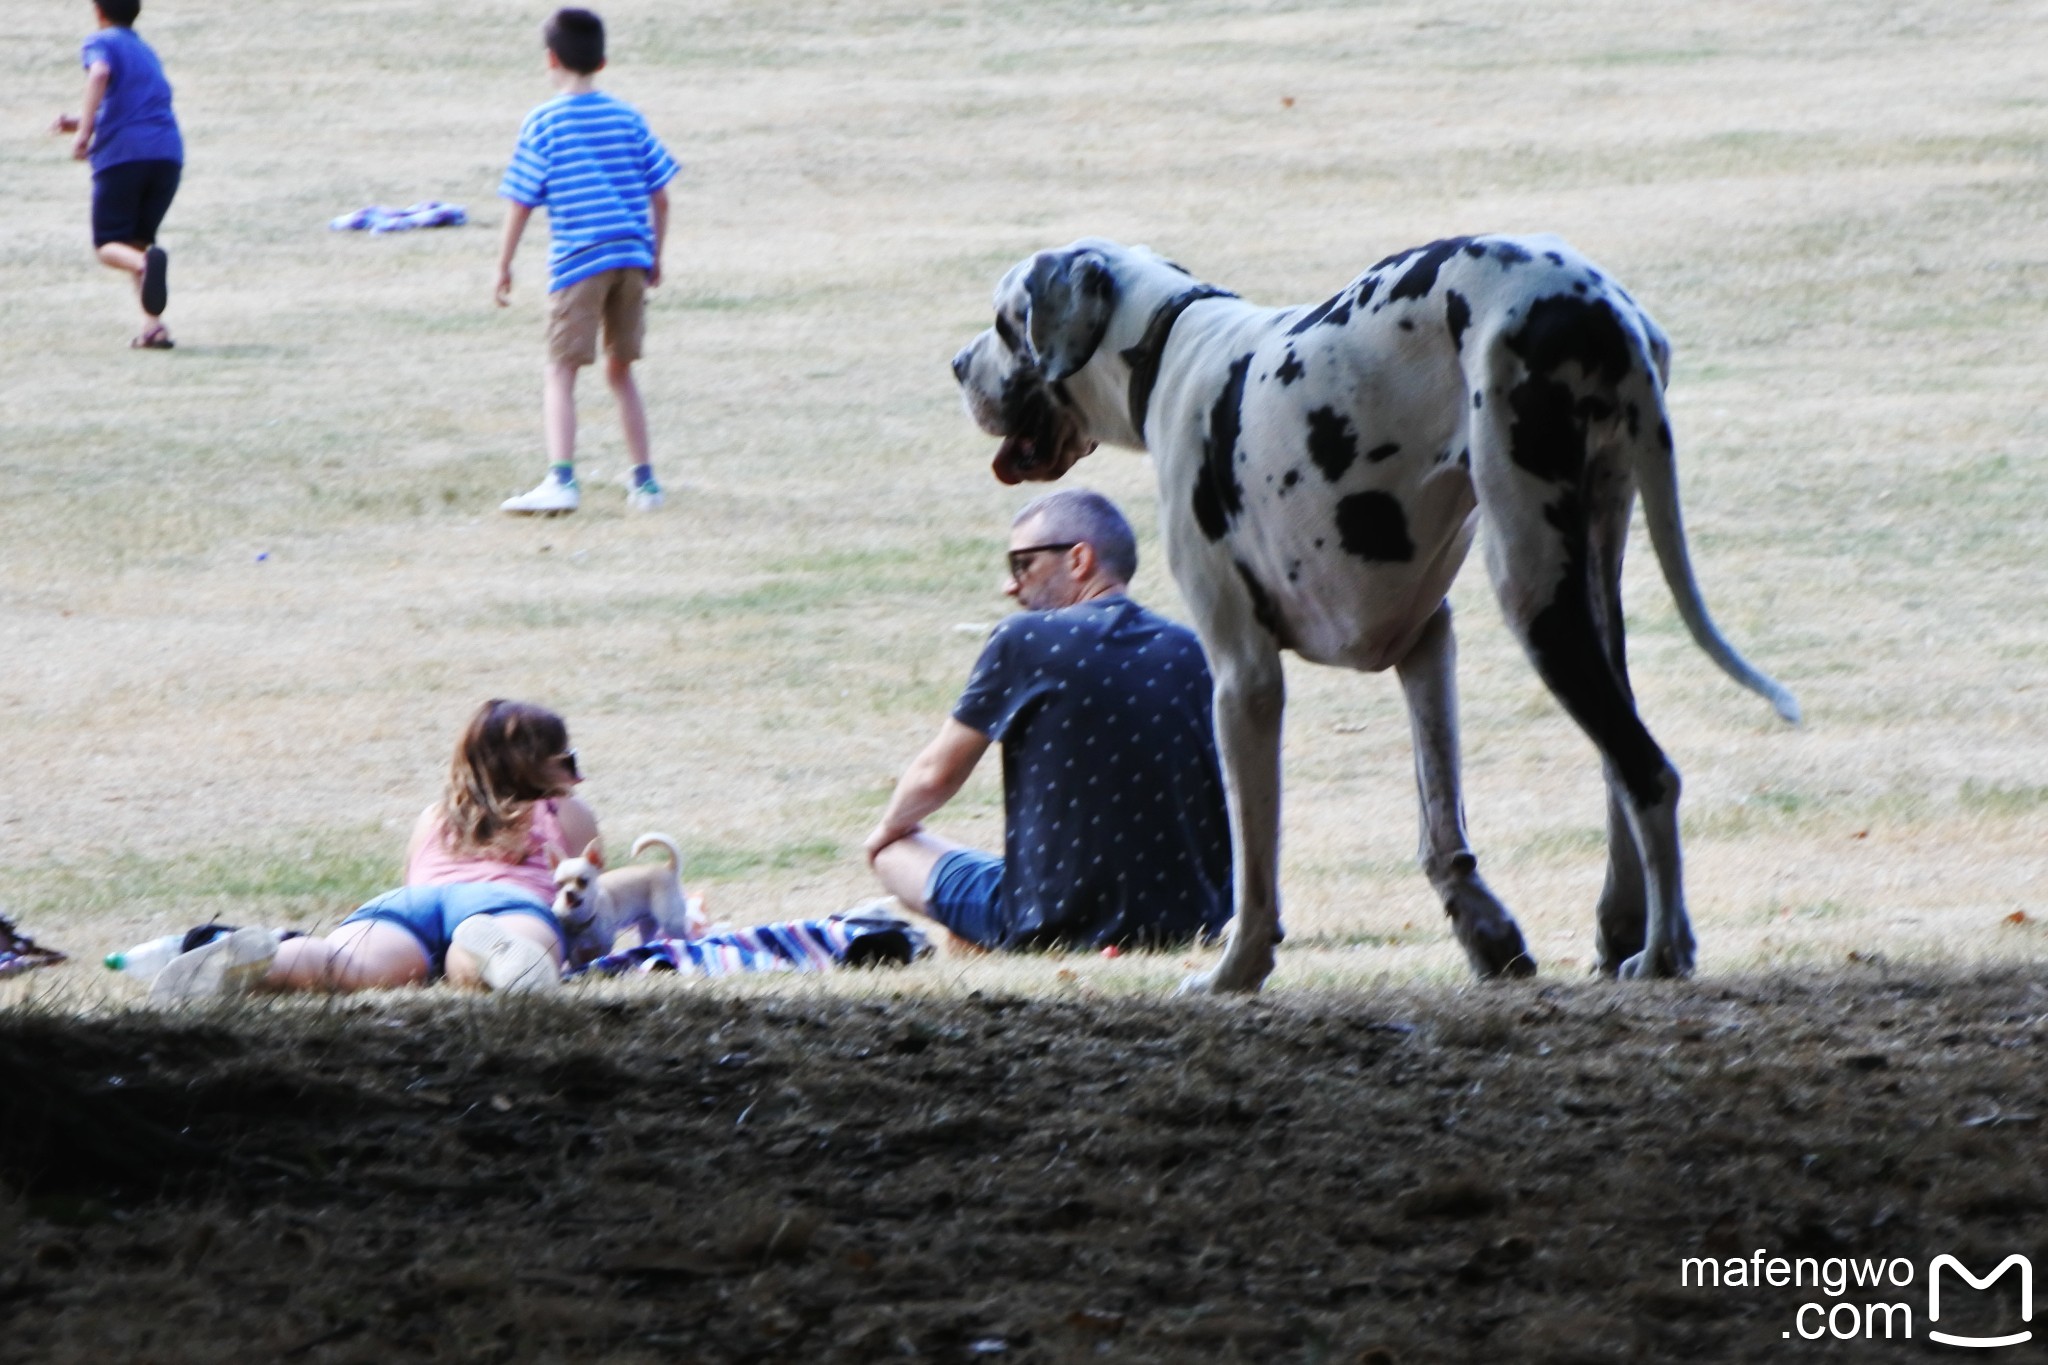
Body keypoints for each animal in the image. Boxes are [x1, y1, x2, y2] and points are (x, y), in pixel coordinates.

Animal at [950, 235, 1802, 994]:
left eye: (1001, 322)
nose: (957, 364)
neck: (1167, 344)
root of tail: (1602, 308)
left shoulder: (1243, 678)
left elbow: (1254, 862)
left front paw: (1236, 971)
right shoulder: (1426, 646)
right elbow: (1439, 824)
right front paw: (1486, 934)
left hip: (1532, 590)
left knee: (1648, 771)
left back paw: (1664, 951)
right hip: (1589, 585)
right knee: (1616, 761)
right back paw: (1620, 930)